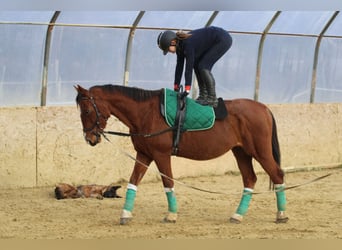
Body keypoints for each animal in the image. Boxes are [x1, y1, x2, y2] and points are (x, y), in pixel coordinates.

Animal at [75, 84, 288, 225]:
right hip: (241, 152)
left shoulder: (161, 155)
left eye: (87, 111)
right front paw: (125, 214)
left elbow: (168, 183)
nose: (90, 138)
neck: (147, 113)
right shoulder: (144, 154)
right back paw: (238, 215)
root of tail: (263, 108)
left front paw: (171, 215)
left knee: (277, 174)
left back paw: (281, 215)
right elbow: (133, 182)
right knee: (250, 179)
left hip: (259, 151)